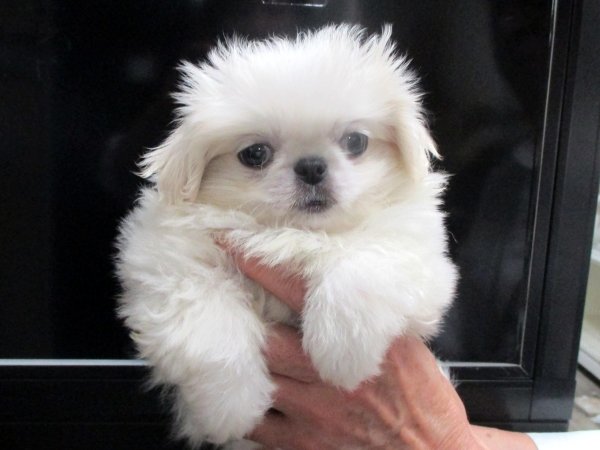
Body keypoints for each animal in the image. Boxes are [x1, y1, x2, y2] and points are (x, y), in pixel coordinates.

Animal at [116, 25, 457, 448]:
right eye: (255, 153)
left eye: (356, 142)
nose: (311, 166)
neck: (296, 235)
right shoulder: (169, 269)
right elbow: (211, 331)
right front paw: (229, 410)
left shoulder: (417, 257)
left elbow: (361, 267)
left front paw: (343, 355)